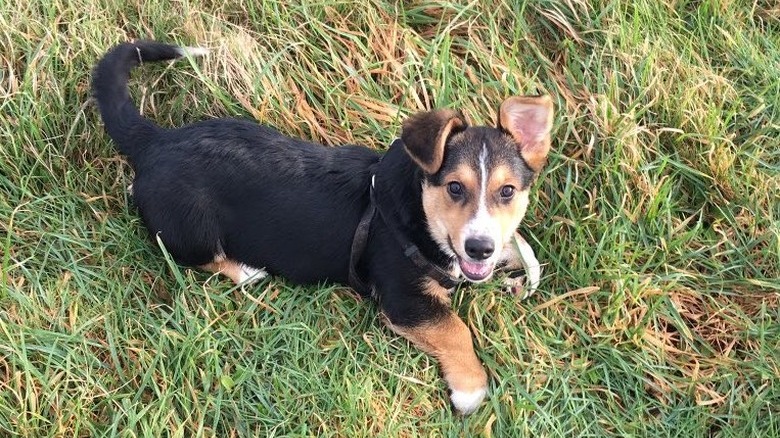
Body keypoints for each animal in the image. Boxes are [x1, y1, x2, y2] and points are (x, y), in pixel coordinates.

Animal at [91, 41, 552, 414]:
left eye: (507, 192)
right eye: (455, 187)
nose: (479, 248)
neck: (419, 212)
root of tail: (156, 141)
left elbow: (519, 251)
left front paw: (520, 270)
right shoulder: (404, 300)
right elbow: (455, 329)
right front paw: (471, 390)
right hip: (194, 230)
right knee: (198, 255)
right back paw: (245, 271)